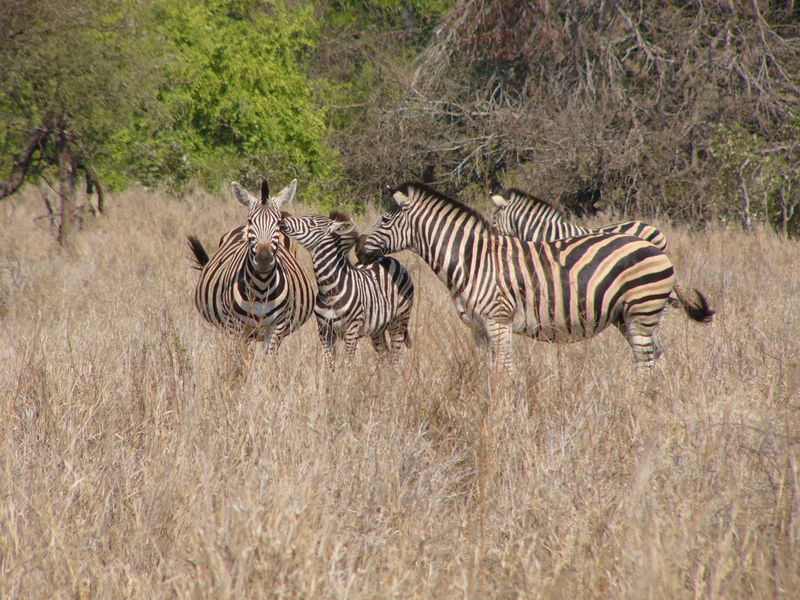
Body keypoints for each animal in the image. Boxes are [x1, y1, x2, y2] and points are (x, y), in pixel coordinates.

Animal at [186, 180, 314, 354]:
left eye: (277, 223)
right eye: (251, 221)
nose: (264, 259)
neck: (262, 286)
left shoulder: (276, 327)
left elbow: (269, 359)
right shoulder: (238, 328)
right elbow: (245, 359)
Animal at [280, 211, 416, 368]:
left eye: (312, 223)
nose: (282, 217)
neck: (329, 291)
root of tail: (388, 259)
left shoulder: (352, 331)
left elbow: (347, 364)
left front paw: (346, 375)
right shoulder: (324, 331)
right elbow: (330, 364)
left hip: (399, 321)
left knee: (395, 357)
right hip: (378, 329)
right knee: (384, 354)